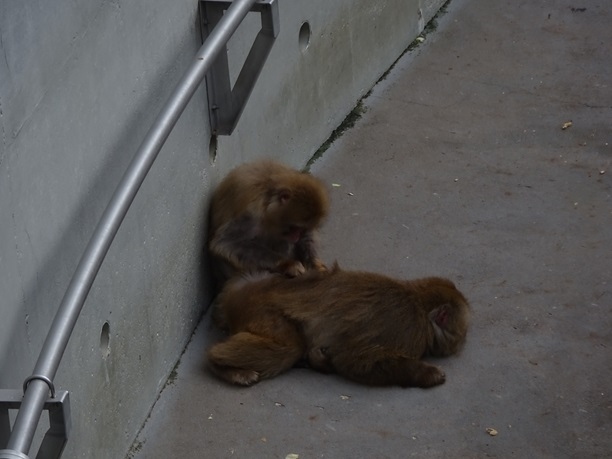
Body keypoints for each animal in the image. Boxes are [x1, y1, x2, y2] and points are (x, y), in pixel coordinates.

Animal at [207, 160, 330, 290]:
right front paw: (288, 264)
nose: (296, 236)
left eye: (302, 229)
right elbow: (226, 243)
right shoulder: (251, 214)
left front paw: (315, 264)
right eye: (294, 228)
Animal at [208, 264, 470, 390]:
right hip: (262, 312)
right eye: (462, 331)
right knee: (288, 349)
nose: (462, 344)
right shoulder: (408, 329)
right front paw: (428, 374)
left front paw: (321, 360)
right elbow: (357, 361)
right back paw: (220, 363)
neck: (417, 301)